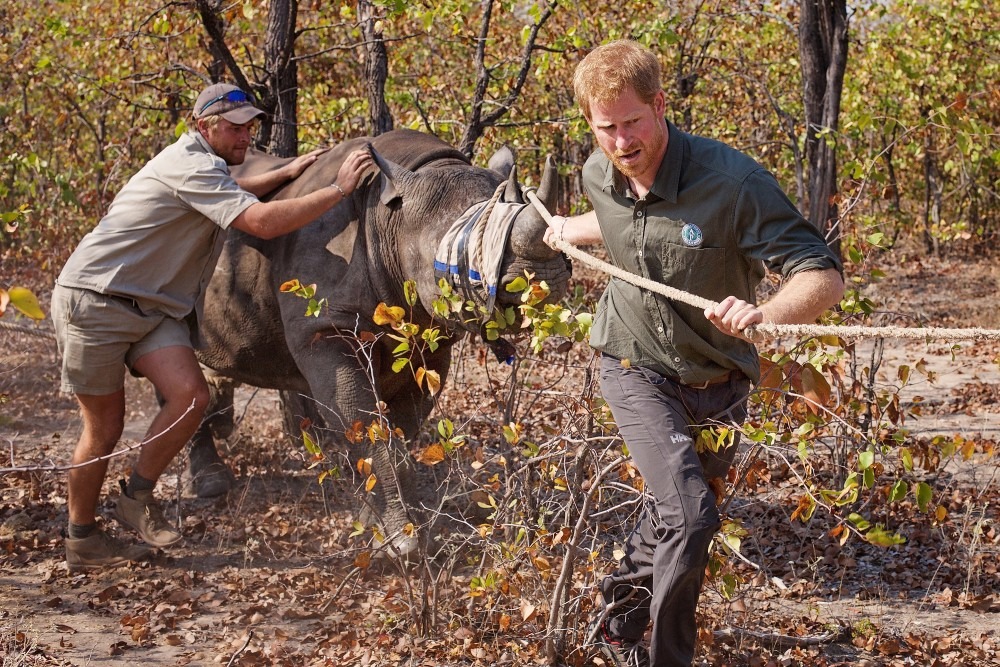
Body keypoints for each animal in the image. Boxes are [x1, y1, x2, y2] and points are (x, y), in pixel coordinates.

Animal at [189, 129, 569, 556]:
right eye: (457, 251)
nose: (545, 280)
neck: (391, 218)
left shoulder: (428, 336)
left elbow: (401, 427)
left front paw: (390, 530)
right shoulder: (324, 329)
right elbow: (364, 422)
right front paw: (400, 546)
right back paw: (209, 484)